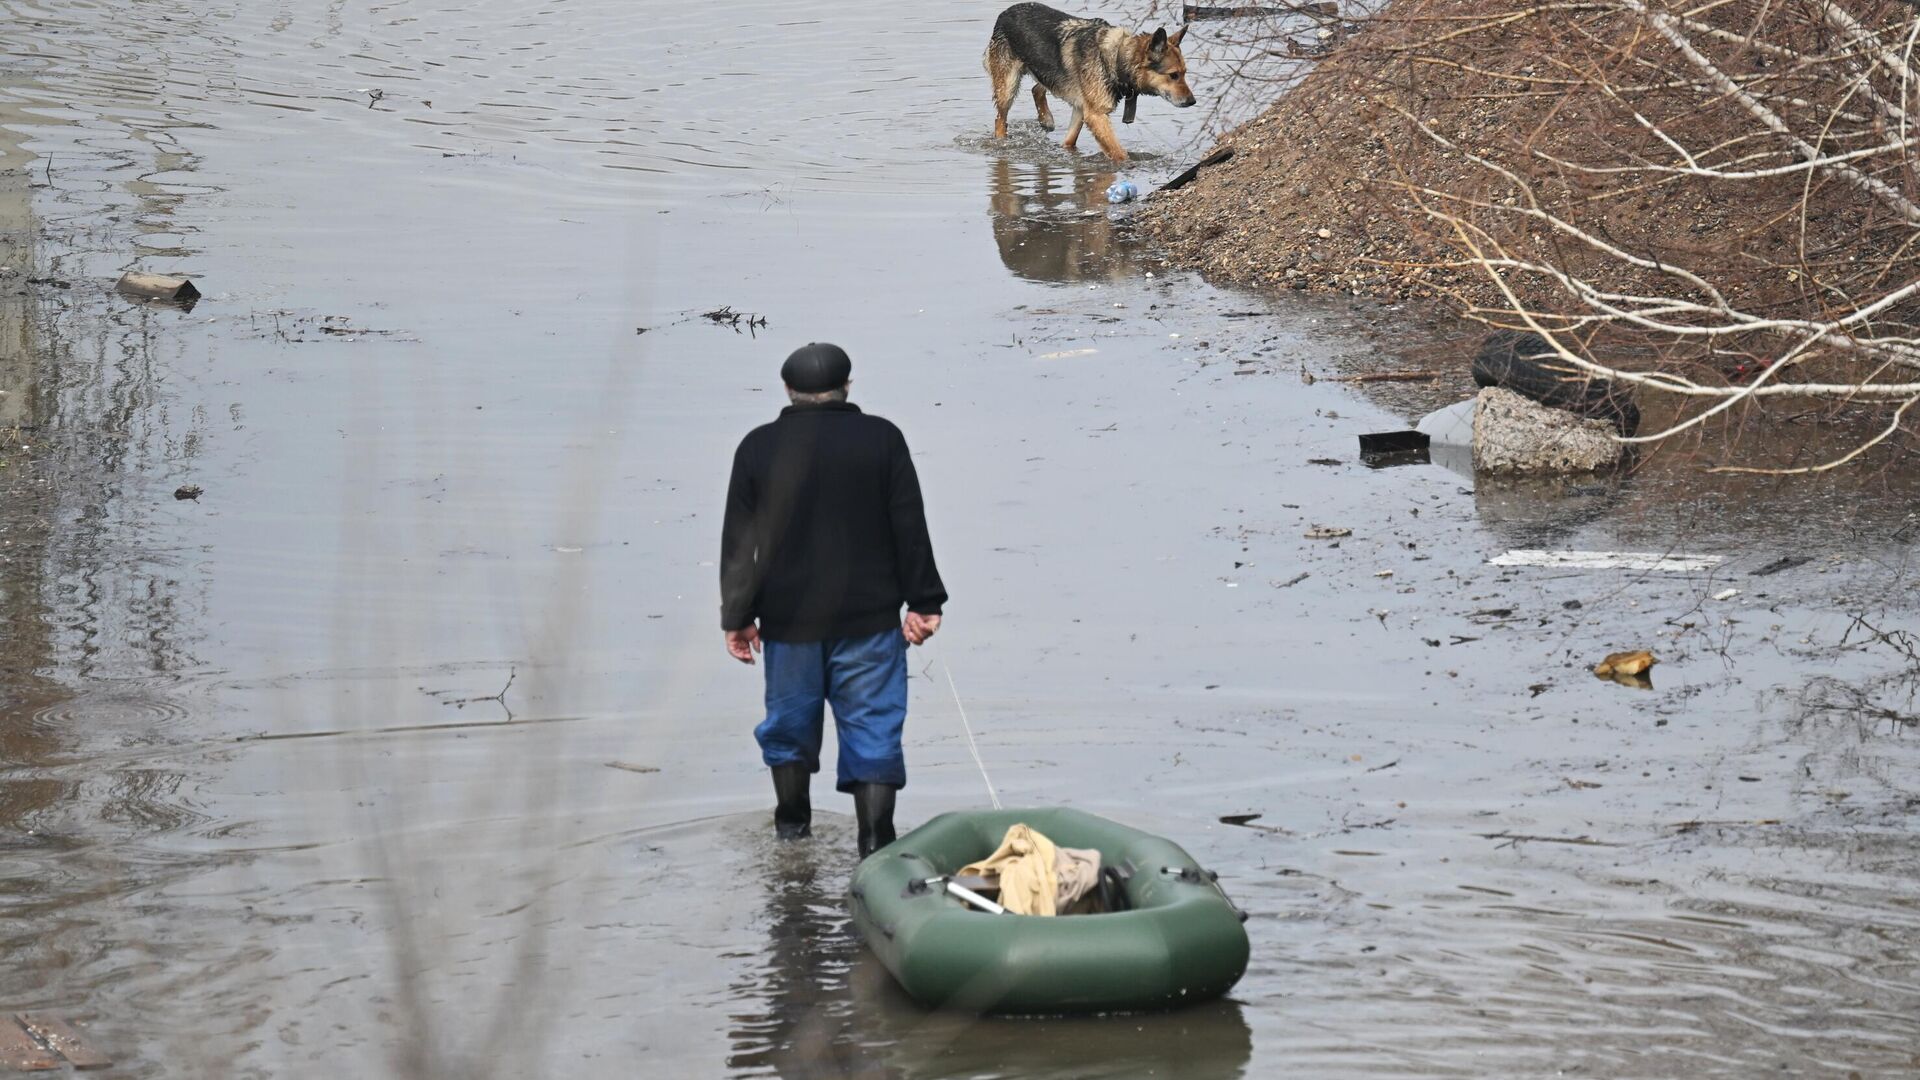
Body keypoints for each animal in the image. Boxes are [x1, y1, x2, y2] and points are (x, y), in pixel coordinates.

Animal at [983, 2, 1190, 160]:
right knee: (1000, 120)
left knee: (1037, 89)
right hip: (1008, 87)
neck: (1116, 59)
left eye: (1185, 73)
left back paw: (1046, 119)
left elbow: (1069, 142)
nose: (1192, 101)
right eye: (1173, 75)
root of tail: (1005, 13)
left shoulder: (1081, 110)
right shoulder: (1096, 115)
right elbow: (1119, 152)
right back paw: (1002, 141)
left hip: (1047, 73)